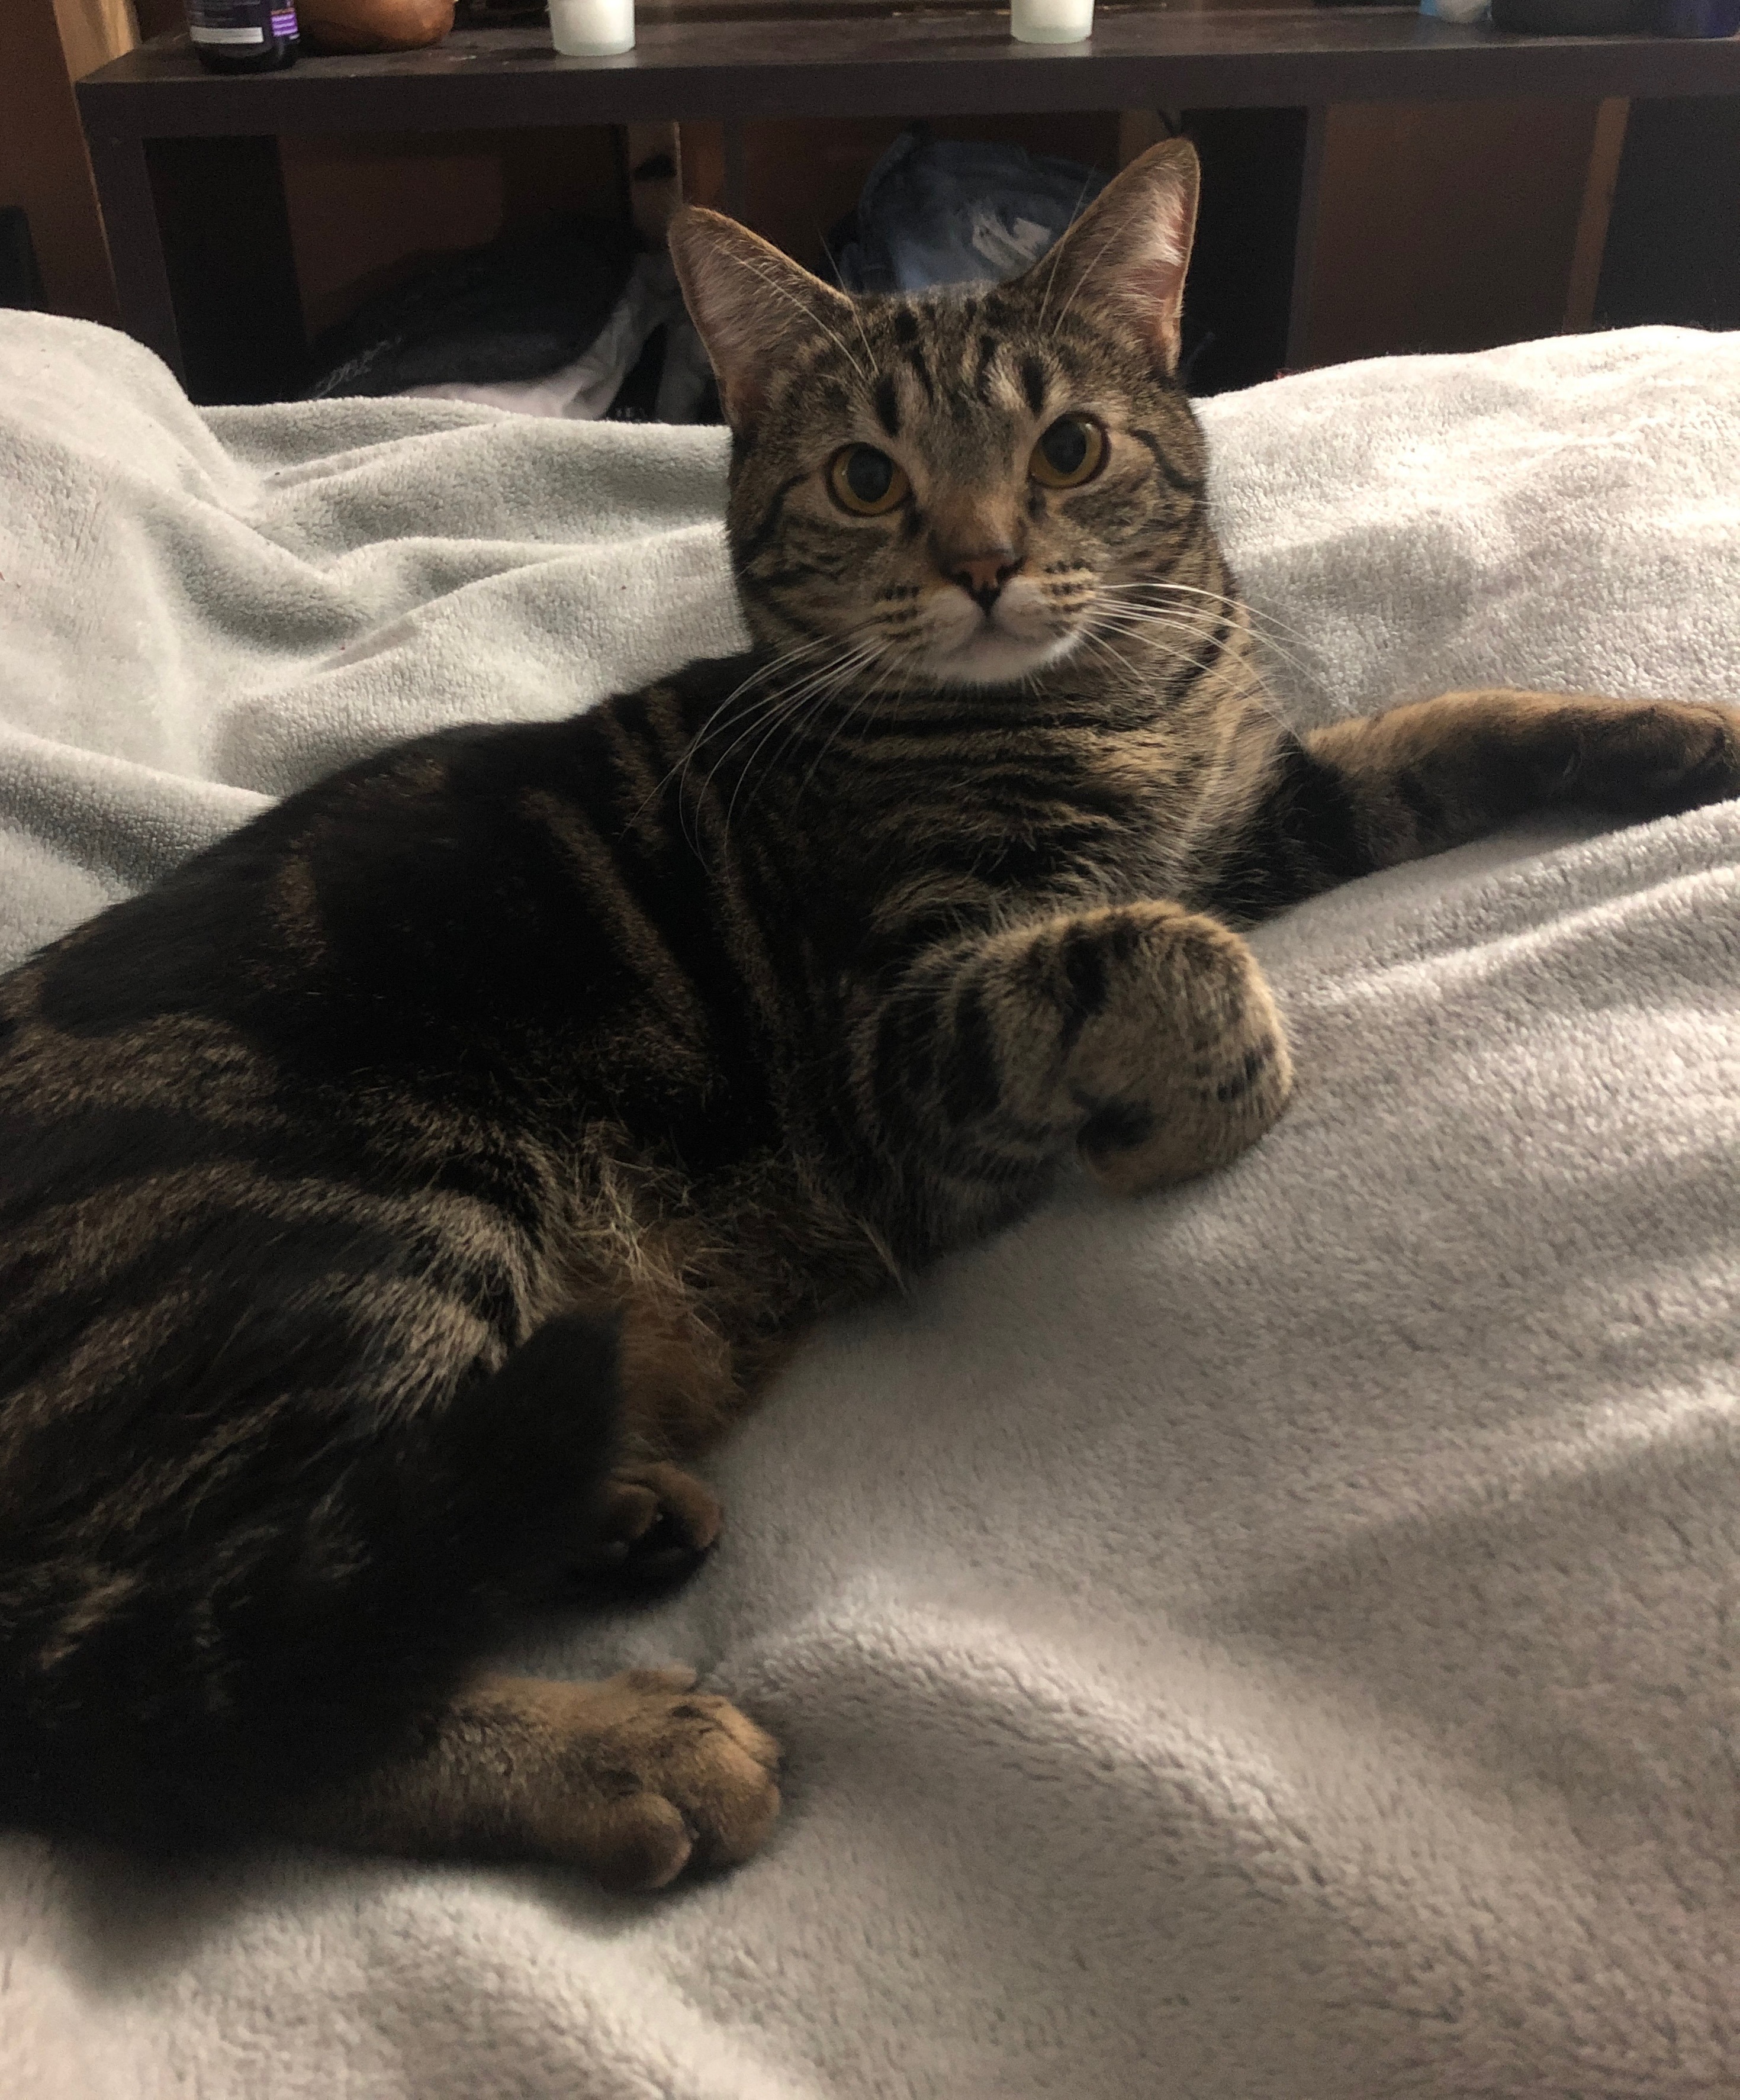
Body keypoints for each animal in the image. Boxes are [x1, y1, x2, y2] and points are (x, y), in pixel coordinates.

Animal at [2, 139, 1736, 1892]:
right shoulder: (892, 1065)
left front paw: (1673, 735)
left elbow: (1456, 725)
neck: (1109, 710)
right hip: (365, 1218)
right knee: (168, 1701)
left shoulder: (1262, 811)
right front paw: (1194, 1098)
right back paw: (623, 1748)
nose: (978, 563)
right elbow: (1166, 959)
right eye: (863, 480)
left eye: (1068, 447)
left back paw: (613, 1505)